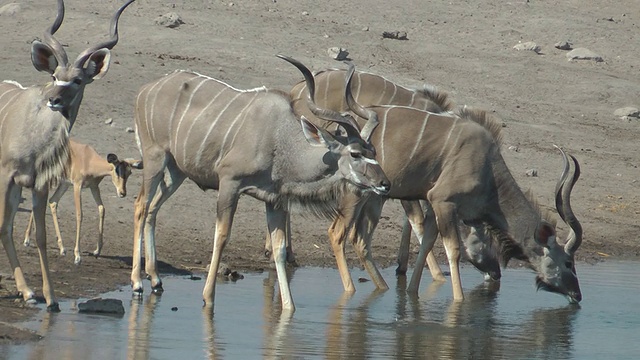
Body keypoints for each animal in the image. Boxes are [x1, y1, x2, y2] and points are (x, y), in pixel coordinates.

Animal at [0, 0, 134, 310]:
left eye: (78, 80)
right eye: (54, 77)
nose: (54, 99)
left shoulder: (36, 184)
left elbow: (39, 235)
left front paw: (48, 297)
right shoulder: (5, 175)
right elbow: (2, 227)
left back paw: (27, 291)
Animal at [130, 57, 390, 314]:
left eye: (374, 152)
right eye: (355, 153)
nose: (384, 184)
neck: (279, 140)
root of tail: (145, 89)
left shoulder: (274, 200)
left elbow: (279, 248)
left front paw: (288, 307)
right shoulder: (229, 183)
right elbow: (222, 235)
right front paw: (208, 297)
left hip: (176, 171)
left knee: (153, 209)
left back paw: (155, 278)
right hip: (155, 158)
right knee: (141, 206)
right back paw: (137, 283)